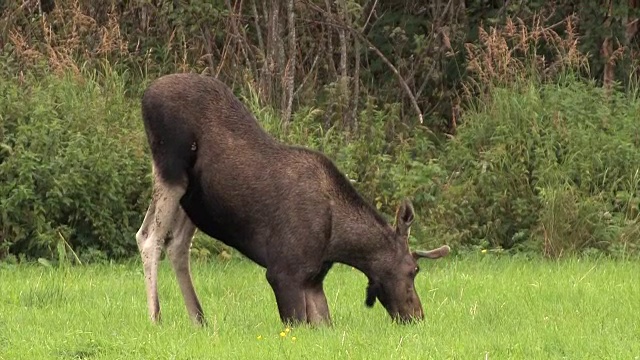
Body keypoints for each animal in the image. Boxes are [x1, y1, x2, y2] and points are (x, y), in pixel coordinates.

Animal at [135, 72, 450, 326]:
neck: (338, 240)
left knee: (177, 245)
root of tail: (146, 94)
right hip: (171, 170)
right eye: (414, 270)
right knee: (149, 236)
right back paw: (156, 318)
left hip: (192, 199)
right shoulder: (283, 273)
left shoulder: (313, 281)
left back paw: (199, 319)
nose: (417, 316)